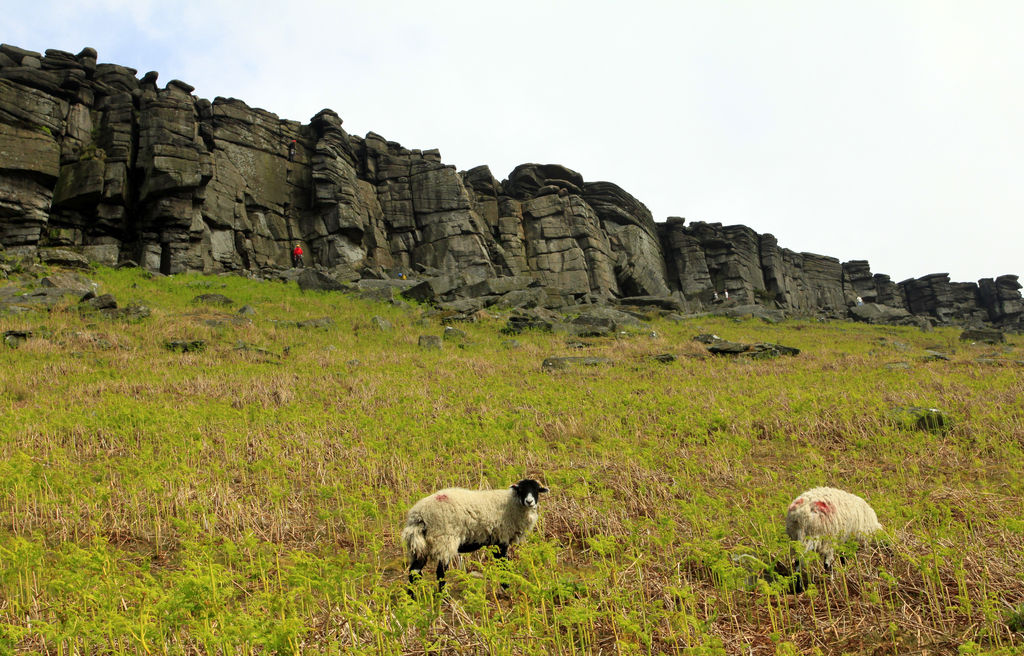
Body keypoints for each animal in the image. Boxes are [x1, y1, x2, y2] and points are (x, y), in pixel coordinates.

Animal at [399, 474, 548, 589]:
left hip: (421, 546)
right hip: (444, 540)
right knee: (440, 572)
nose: (530, 501)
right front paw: (506, 586)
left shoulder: (495, 540)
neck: (513, 504)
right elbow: (503, 565)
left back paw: (413, 598)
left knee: (414, 571)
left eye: (536, 490)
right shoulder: (503, 537)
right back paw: (442, 595)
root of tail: (419, 514)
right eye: (521, 490)